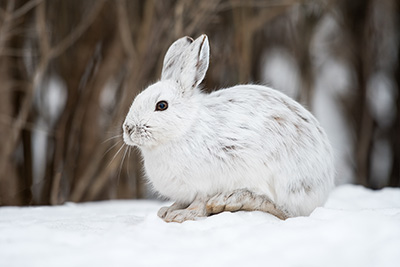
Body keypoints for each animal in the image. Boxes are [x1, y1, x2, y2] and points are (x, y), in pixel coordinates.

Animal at [122, 35, 334, 224]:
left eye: (162, 105)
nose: (128, 128)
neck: (184, 129)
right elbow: (180, 202)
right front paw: (167, 210)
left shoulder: (205, 185)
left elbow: (199, 203)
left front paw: (181, 216)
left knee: (284, 212)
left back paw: (230, 201)